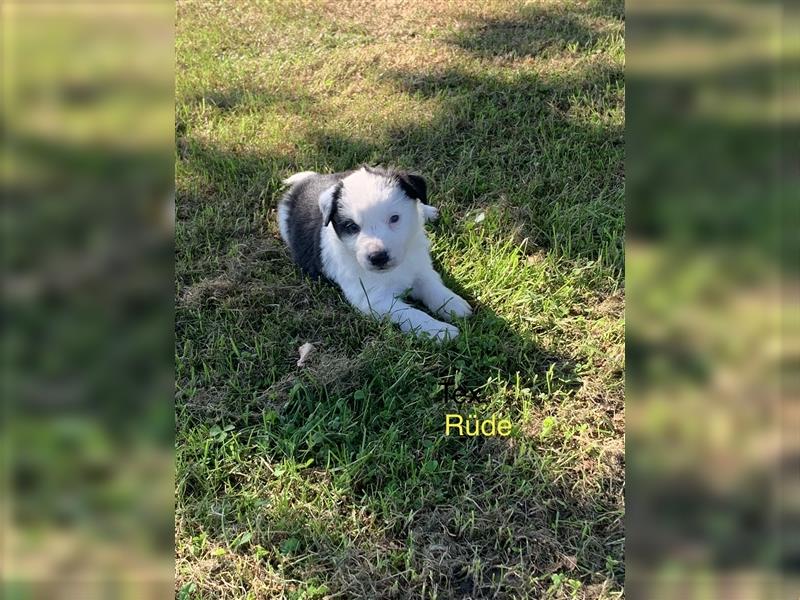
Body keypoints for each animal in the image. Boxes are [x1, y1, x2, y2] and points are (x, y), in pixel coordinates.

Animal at [278, 166, 472, 340]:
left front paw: (453, 304)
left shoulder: (420, 268)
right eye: (352, 227)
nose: (378, 257)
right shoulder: (373, 299)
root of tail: (306, 182)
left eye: (394, 218)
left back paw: (427, 211)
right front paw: (440, 330)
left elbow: (433, 287)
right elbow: (411, 313)